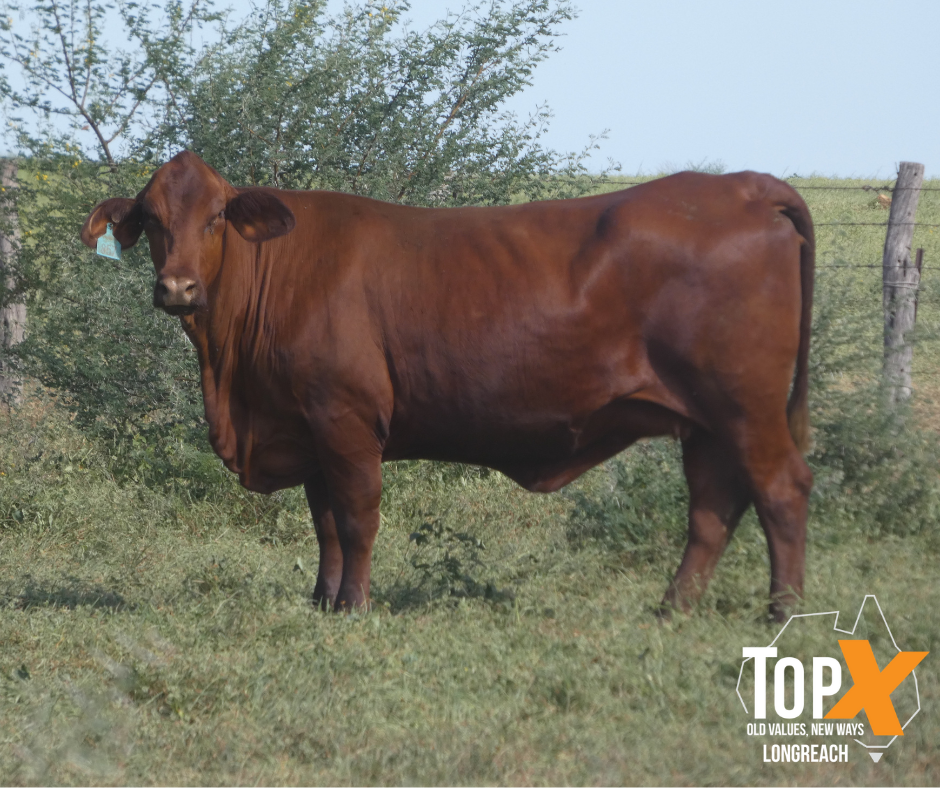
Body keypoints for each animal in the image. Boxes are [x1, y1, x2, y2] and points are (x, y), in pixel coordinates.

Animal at [81, 151, 814, 620]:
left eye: (214, 219)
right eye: (152, 221)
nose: (177, 288)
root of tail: (744, 186)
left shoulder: (346, 418)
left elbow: (357, 517)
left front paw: (354, 606)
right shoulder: (308, 424)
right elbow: (323, 523)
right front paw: (321, 601)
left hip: (748, 408)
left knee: (779, 492)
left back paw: (781, 614)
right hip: (707, 420)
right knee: (713, 508)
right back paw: (673, 609)